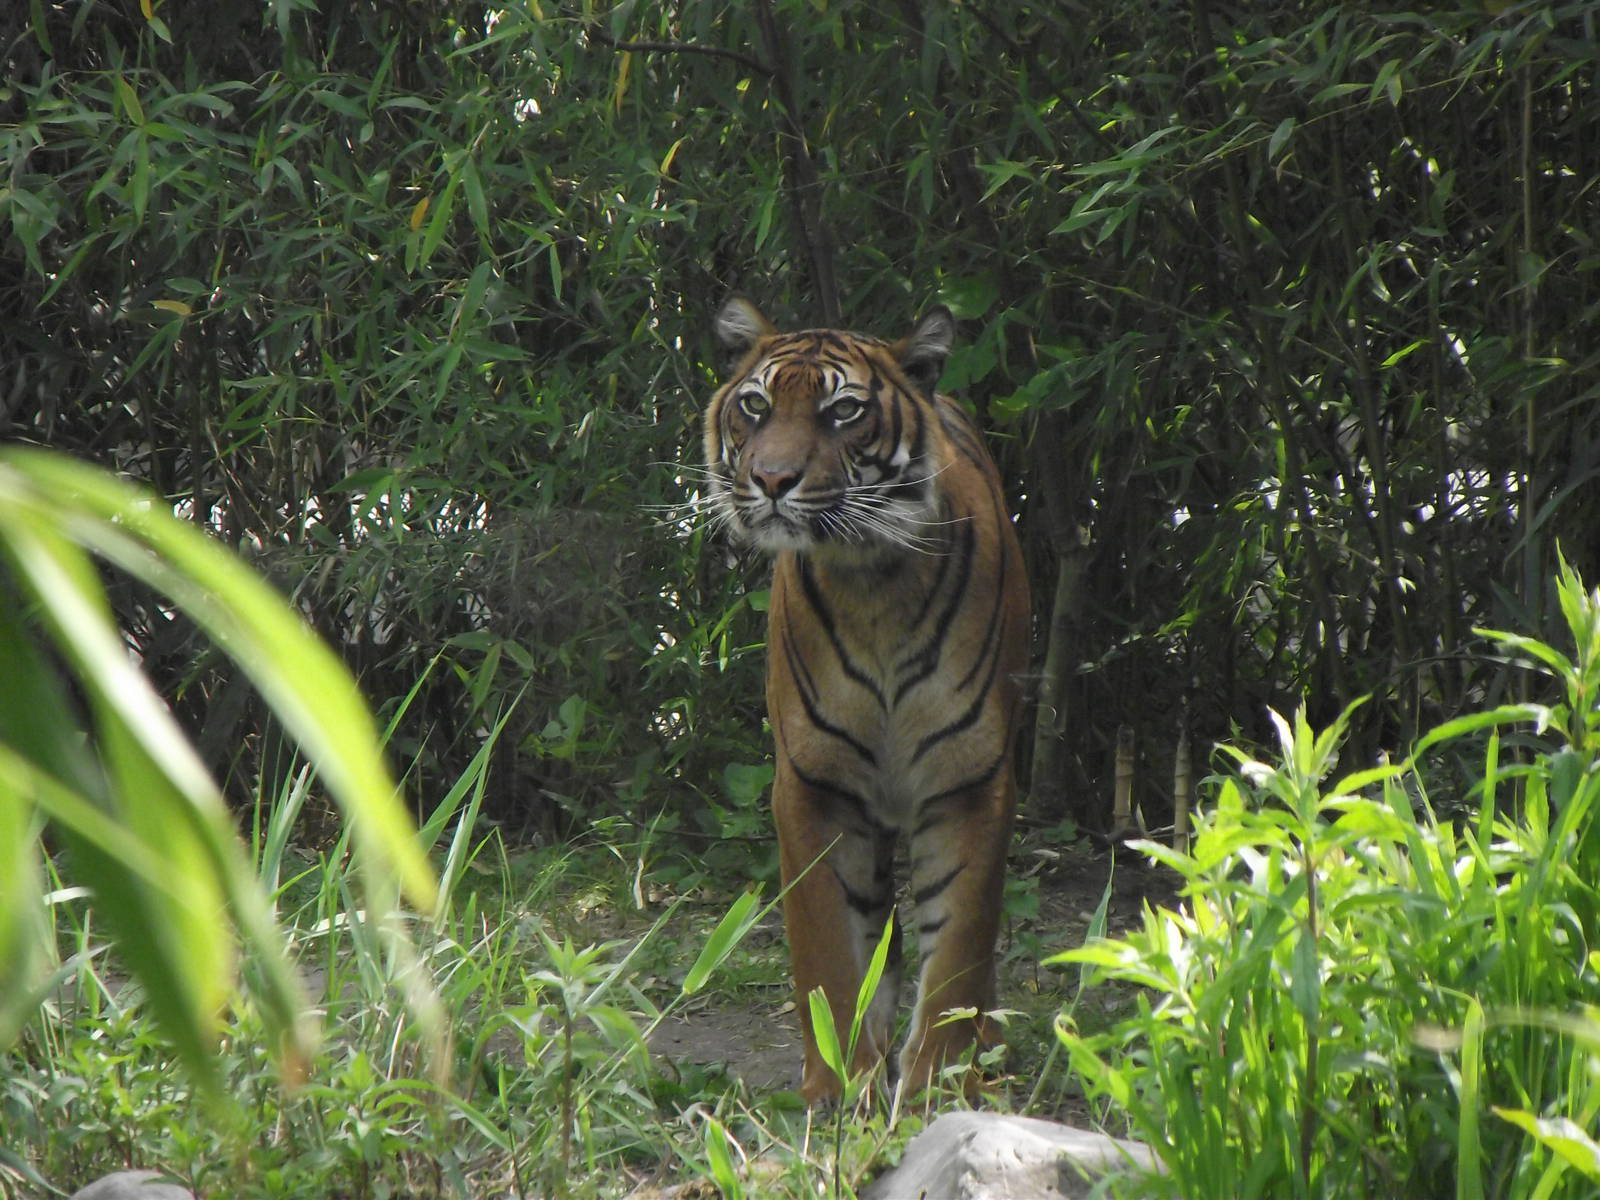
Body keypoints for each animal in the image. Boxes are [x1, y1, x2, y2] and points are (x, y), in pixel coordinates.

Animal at [702, 295, 1030, 1104]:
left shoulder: (971, 782)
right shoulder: (812, 784)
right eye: (755, 406)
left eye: (843, 411)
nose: (772, 479)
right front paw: (840, 1083)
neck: (871, 579)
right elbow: (827, 949)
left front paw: (935, 1084)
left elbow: (959, 950)